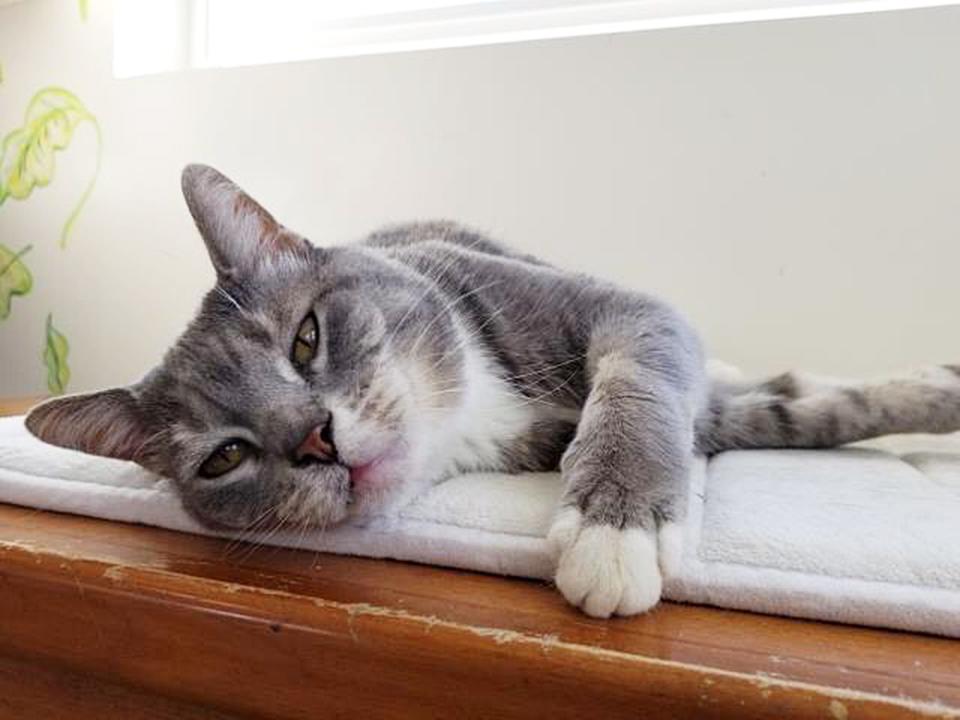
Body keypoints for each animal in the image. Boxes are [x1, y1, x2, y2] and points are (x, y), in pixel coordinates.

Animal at [22, 165, 960, 620]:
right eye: (225, 457)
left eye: (306, 337)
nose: (318, 438)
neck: (463, 410)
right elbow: (797, 412)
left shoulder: (625, 312)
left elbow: (661, 380)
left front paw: (613, 525)